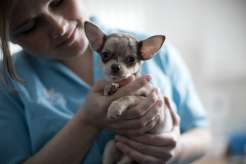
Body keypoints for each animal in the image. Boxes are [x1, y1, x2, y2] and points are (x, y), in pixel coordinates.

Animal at [83, 21, 172, 164]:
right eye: (105, 55)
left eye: (131, 59)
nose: (115, 66)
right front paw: (110, 87)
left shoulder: (146, 98)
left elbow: (128, 97)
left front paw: (115, 107)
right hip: (111, 146)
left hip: (130, 156)